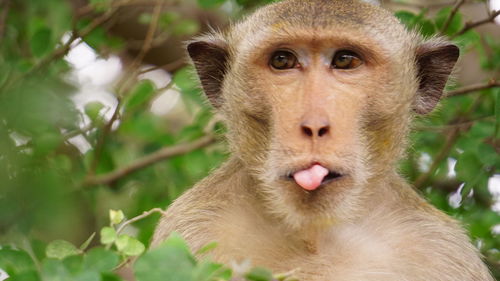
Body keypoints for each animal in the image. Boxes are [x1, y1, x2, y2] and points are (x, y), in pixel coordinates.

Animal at [150, 0, 494, 278]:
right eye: (283, 61)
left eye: (345, 60)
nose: (314, 126)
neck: (314, 235)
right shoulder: (191, 228)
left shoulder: (442, 250)